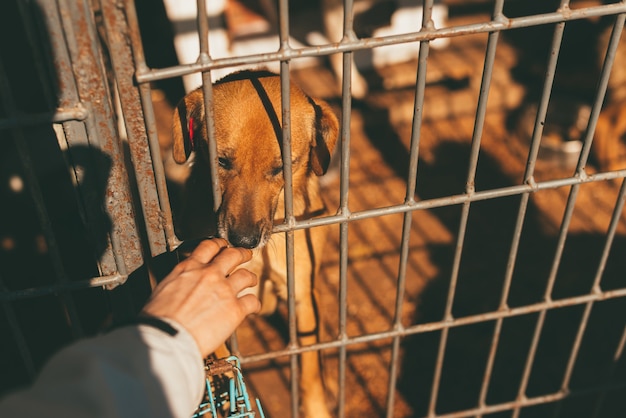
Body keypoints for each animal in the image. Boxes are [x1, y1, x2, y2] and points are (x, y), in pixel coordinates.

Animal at [169, 70, 336, 416]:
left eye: (282, 167)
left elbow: (310, 368)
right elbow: (220, 361)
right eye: (221, 161)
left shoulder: (302, 294)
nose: (243, 240)